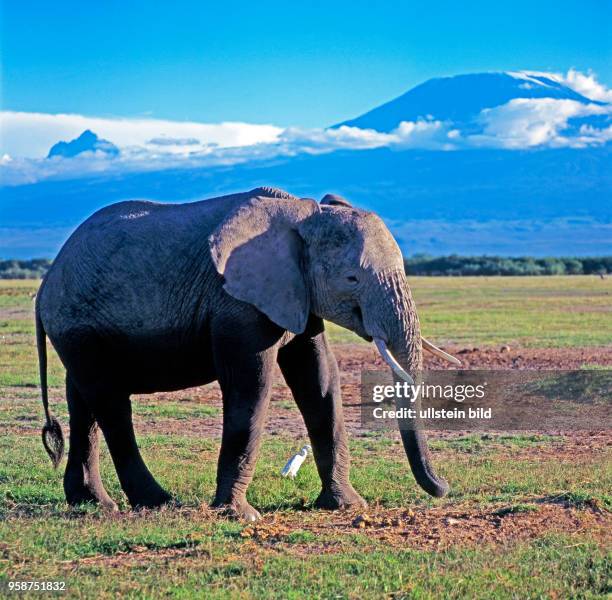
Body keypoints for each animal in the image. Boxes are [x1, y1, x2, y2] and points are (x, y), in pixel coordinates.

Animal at [37, 188, 460, 520]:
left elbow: (320, 381)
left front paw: (347, 506)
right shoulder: (238, 304)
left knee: (83, 403)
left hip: (78, 329)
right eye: (352, 278)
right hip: (78, 325)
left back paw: (92, 503)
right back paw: (159, 502)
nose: (444, 488)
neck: (302, 213)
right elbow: (251, 386)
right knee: (110, 403)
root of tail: (45, 284)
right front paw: (239, 515)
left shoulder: (297, 293)